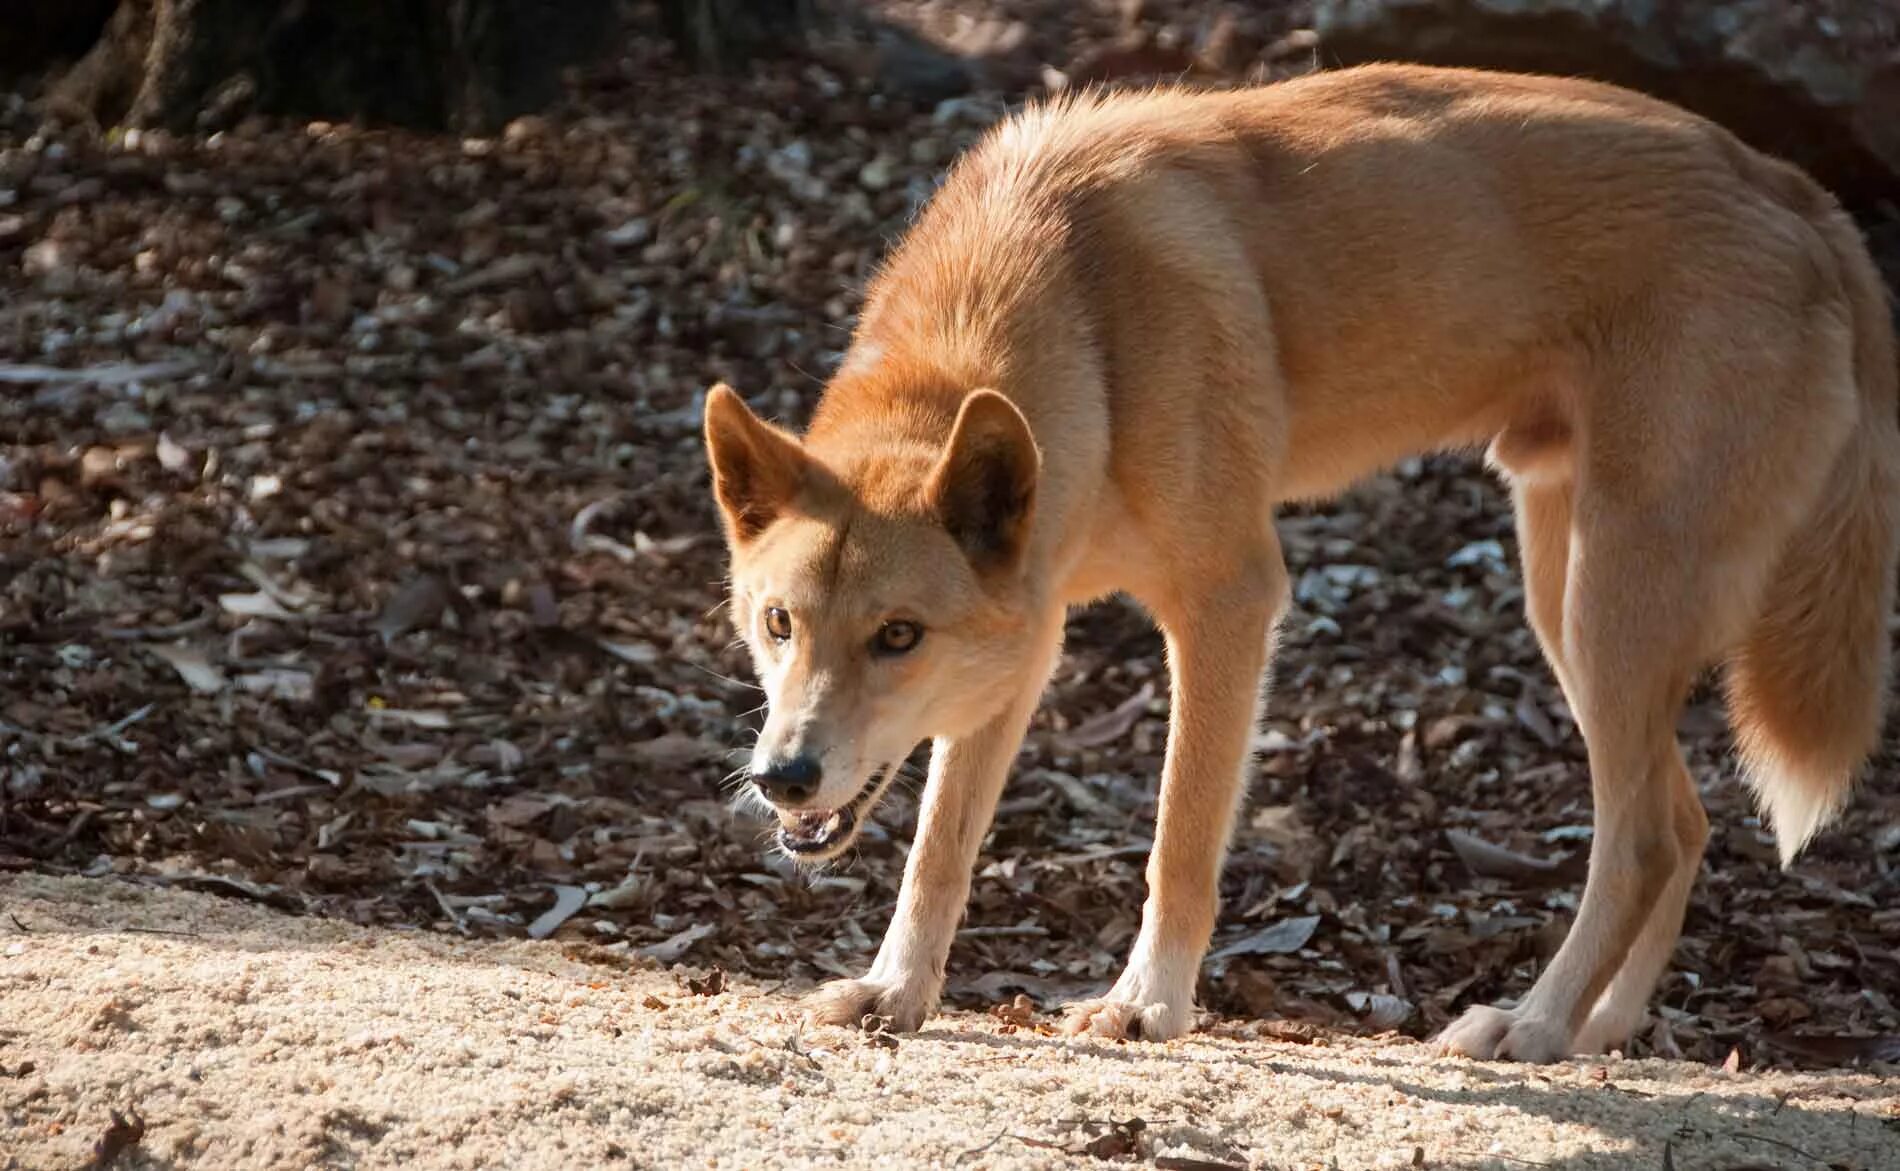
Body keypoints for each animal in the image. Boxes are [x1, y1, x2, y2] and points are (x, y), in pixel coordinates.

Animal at [703, 64, 1900, 1064]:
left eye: (897, 635)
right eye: (777, 624)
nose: (782, 776)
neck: (1079, 309)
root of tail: (1793, 191)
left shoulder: (1228, 606)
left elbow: (1180, 838)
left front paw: (1147, 1003)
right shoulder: (1024, 642)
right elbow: (939, 848)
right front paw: (896, 988)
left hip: (1615, 600)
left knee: (1643, 836)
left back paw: (1535, 1021)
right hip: (1566, 598)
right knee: (1683, 821)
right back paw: (1597, 1028)